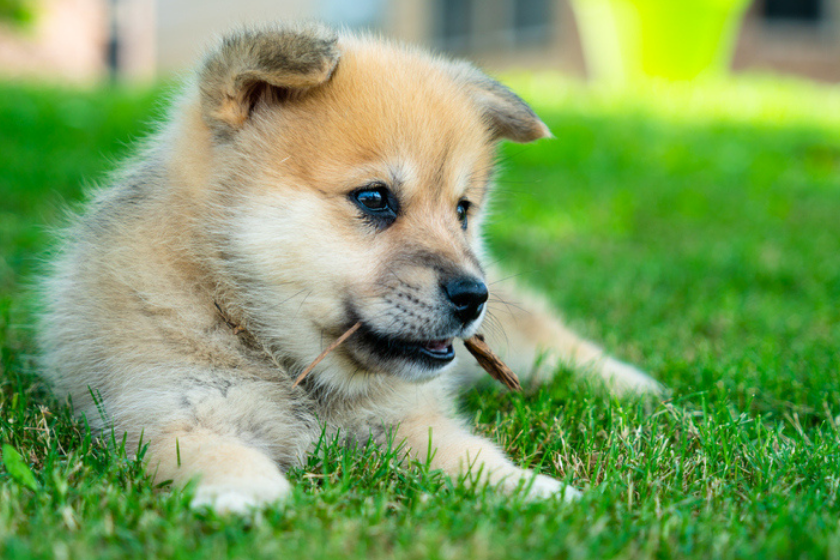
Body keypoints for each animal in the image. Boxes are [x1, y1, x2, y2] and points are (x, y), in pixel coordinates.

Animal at [37, 23, 656, 512]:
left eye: (462, 210)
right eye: (375, 198)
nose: (473, 296)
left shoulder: (412, 419)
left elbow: (472, 454)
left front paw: (535, 490)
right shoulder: (163, 410)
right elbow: (214, 453)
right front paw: (250, 496)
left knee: (552, 342)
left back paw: (636, 386)